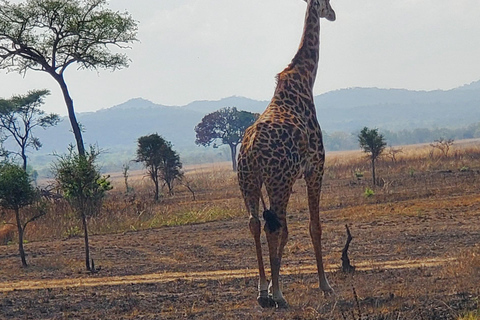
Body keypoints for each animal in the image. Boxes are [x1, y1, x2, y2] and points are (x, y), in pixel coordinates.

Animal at [238, 0, 336, 308]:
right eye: (328, 3)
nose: (333, 14)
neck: (305, 80)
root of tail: (251, 149)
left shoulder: (294, 177)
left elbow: (288, 228)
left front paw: (270, 286)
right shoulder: (315, 168)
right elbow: (314, 226)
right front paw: (325, 285)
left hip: (249, 181)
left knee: (255, 223)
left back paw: (262, 291)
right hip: (277, 181)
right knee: (272, 227)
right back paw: (279, 295)